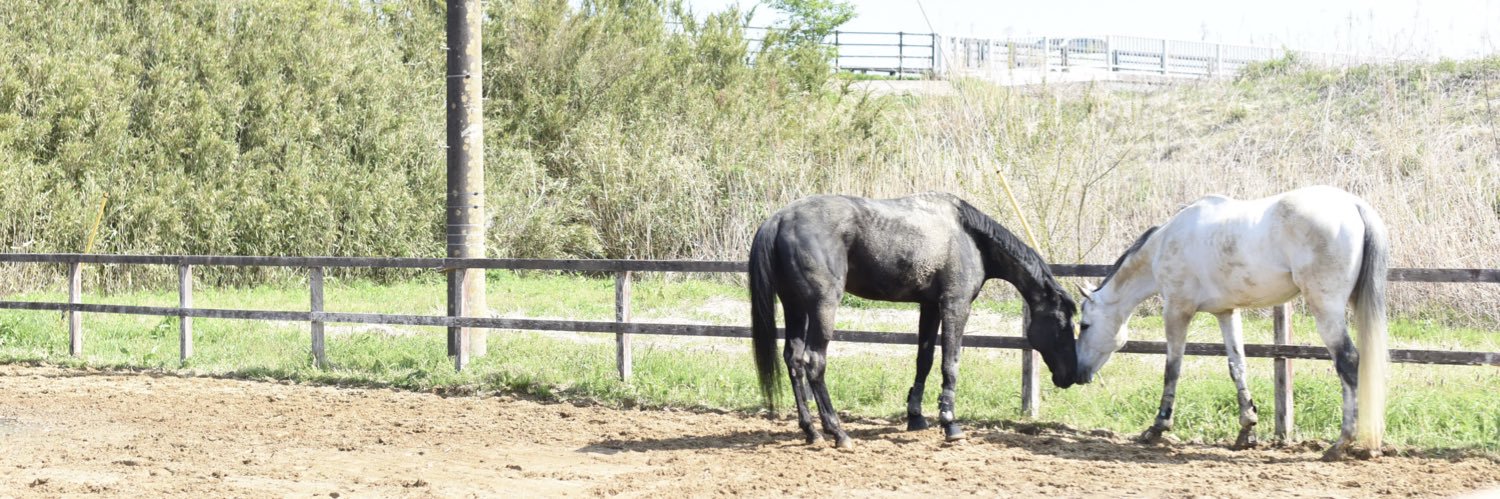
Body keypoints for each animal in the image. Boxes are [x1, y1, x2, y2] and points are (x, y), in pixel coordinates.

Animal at [748, 192, 1079, 448]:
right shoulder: (955, 305)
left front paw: (916, 416)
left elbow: (925, 360)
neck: (969, 237)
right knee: (814, 361)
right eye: (1063, 324)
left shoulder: (929, 306)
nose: (1072, 376)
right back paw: (837, 432)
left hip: (795, 307)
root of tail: (779, 219)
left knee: (794, 361)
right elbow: (950, 363)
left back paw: (812, 432)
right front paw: (950, 423)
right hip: (822, 307)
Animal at [1073, 185, 1388, 460]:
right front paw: (1247, 430)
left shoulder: (1176, 310)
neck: (1165, 243)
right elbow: (1237, 366)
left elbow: (1172, 368)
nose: (1078, 373)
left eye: (1084, 325)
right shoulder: (1226, 312)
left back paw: (1340, 443)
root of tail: (1352, 204)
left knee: (1348, 361)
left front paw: (1157, 428)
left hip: (1326, 308)